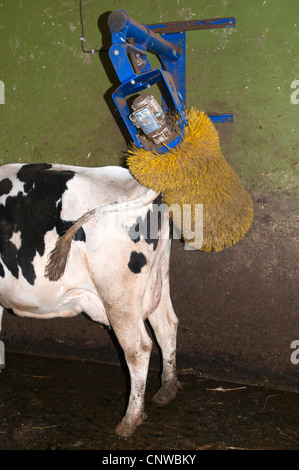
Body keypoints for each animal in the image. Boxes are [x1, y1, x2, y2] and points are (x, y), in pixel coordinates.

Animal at [0, 163, 178, 438]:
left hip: (117, 294)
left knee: (138, 348)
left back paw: (130, 420)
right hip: (159, 276)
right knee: (166, 326)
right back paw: (167, 391)